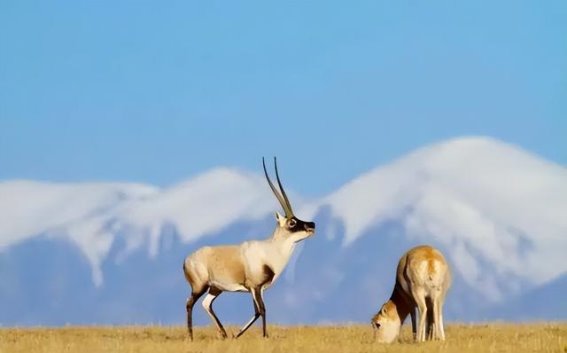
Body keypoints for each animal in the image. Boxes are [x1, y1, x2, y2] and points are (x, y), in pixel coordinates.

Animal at [183, 157, 316, 338]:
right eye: (292, 222)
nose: (312, 224)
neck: (271, 250)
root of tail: (187, 260)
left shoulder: (260, 289)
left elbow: (257, 311)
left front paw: (237, 335)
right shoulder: (255, 287)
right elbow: (262, 310)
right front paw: (264, 336)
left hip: (215, 288)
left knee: (206, 304)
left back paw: (224, 334)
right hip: (200, 286)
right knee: (189, 303)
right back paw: (191, 337)